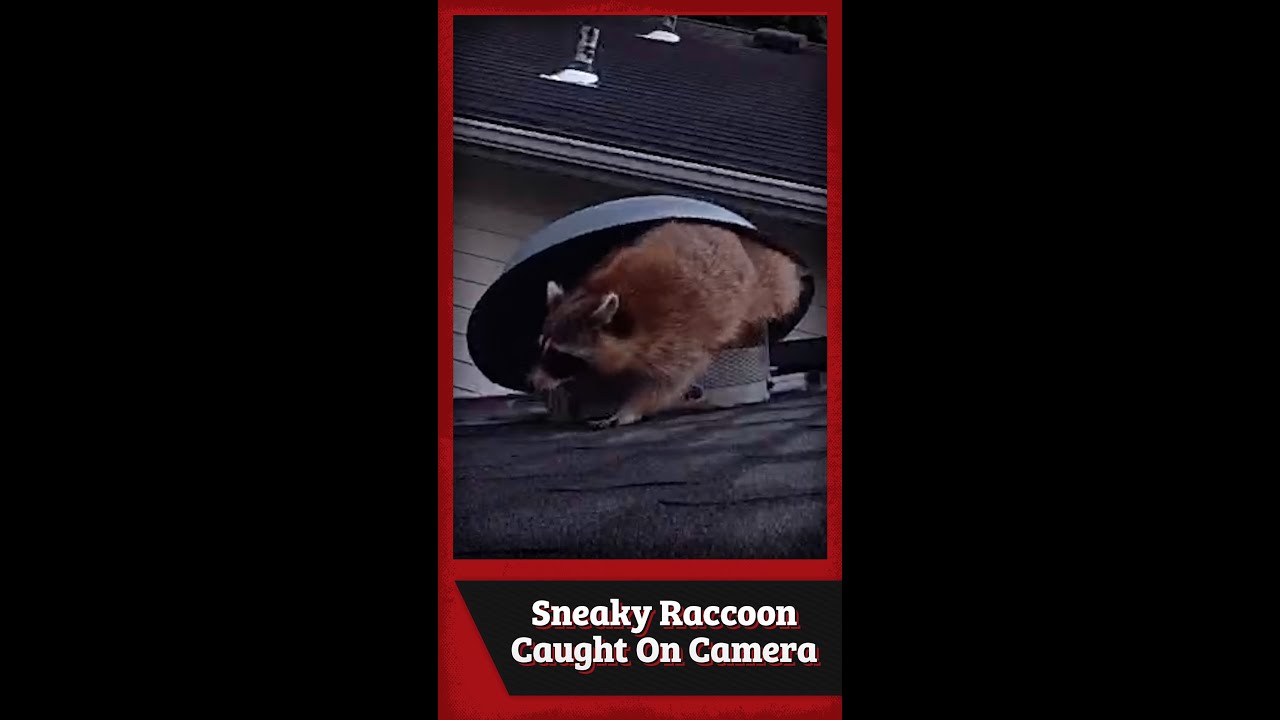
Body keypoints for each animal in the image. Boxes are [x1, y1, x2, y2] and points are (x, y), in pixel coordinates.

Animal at [528, 221, 803, 429]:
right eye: (542, 347)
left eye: (561, 356)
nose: (533, 383)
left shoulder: (676, 336)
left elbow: (669, 383)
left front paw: (630, 409)